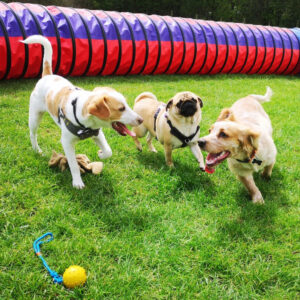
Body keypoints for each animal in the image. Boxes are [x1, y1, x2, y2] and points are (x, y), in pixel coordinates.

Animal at [22, 35, 142, 188]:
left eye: (127, 105)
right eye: (121, 108)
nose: (141, 120)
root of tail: (47, 76)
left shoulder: (97, 133)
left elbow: (108, 151)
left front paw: (101, 153)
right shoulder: (66, 142)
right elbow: (73, 164)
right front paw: (77, 182)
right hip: (35, 116)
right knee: (33, 134)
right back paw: (37, 150)